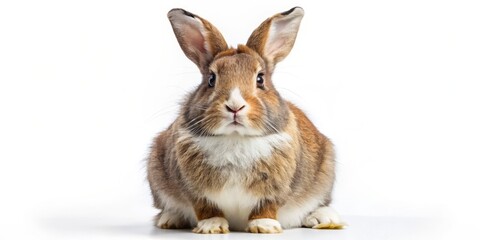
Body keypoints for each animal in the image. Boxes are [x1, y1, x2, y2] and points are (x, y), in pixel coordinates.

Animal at [147, 6, 344, 233]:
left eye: (260, 79)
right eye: (211, 79)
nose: (235, 106)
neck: (235, 138)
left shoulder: (274, 190)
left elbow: (266, 206)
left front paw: (265, 226)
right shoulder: (195, 191)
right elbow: (206, 207)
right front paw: (211, 226)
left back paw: (324, 219)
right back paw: (170, 219)